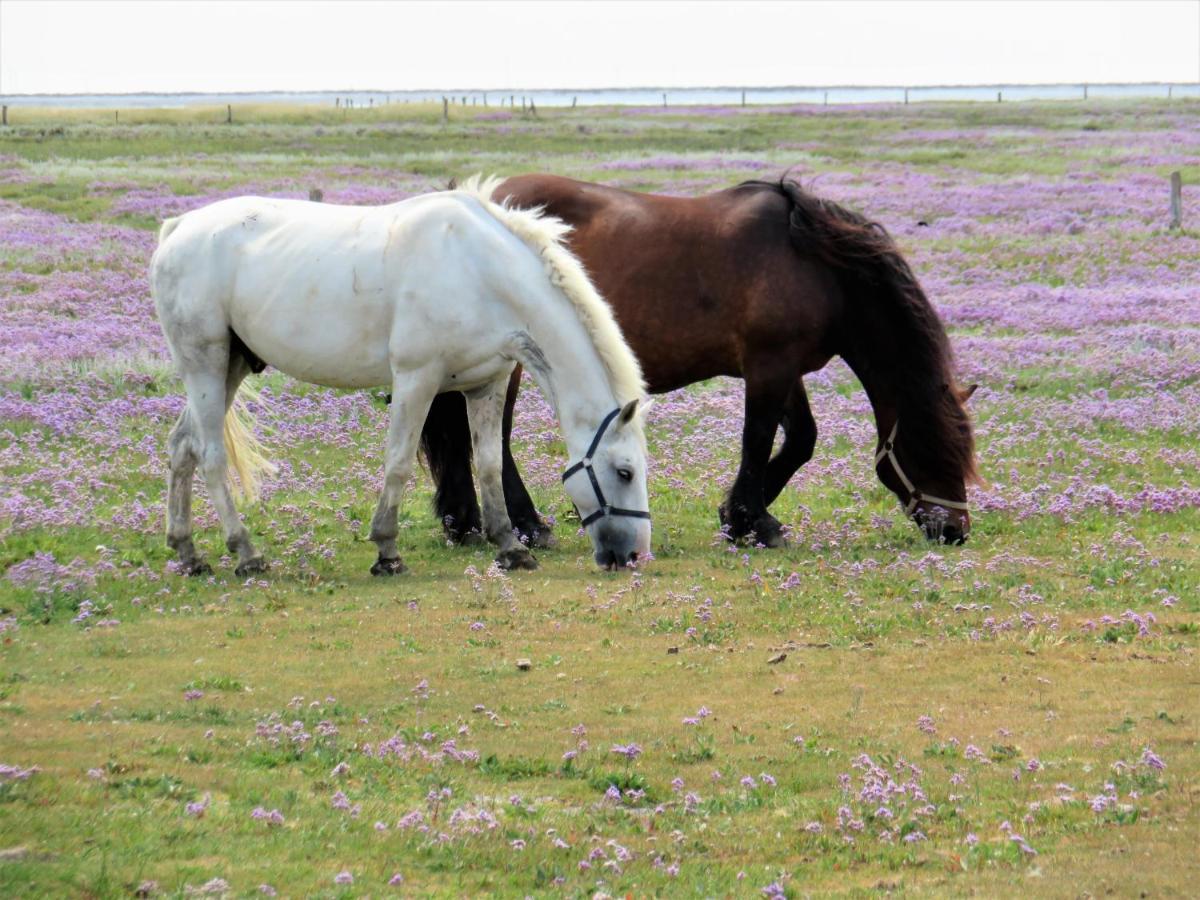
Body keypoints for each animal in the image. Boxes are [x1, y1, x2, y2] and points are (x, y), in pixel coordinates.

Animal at [156, 177, 657, 578]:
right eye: (625, 472)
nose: (634, 556)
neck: (479, 271)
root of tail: (176, 228)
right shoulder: (417, 380)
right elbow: (397, 463)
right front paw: (387, 552)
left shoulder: (486, 385)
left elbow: (490, 465)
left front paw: (511, 547)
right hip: (205, 363)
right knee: (210, 455)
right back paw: (246, 554)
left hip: (231, 366)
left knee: (182, 446)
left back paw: (188, 554)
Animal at [422, 172, 974, 547]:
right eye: (935, 450)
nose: (956, 530)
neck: (812, 264)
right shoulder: (769, 366)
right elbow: (759, 439)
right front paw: (750, 521)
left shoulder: (785, 367)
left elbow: (800, 440)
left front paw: (742, 514)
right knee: (494, 439)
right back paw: (528, 524)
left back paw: (467, 522)